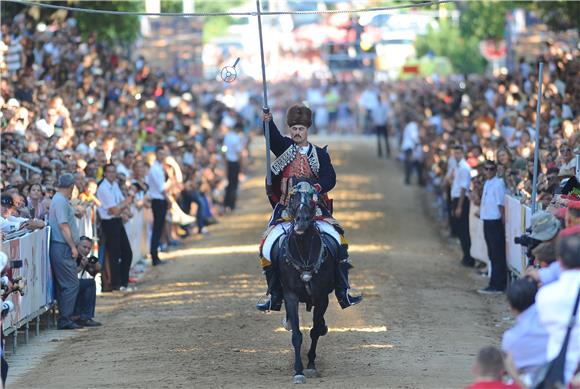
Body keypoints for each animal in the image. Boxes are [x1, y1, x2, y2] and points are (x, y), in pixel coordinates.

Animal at [268, 180, 340, 384]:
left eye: (312, 199)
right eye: (292, 197)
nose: (301, 221)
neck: (304, 251)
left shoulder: (322, 297)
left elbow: (314, 331)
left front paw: (311, 366)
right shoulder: (291, 296)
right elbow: (297, 335)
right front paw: (298, 371)